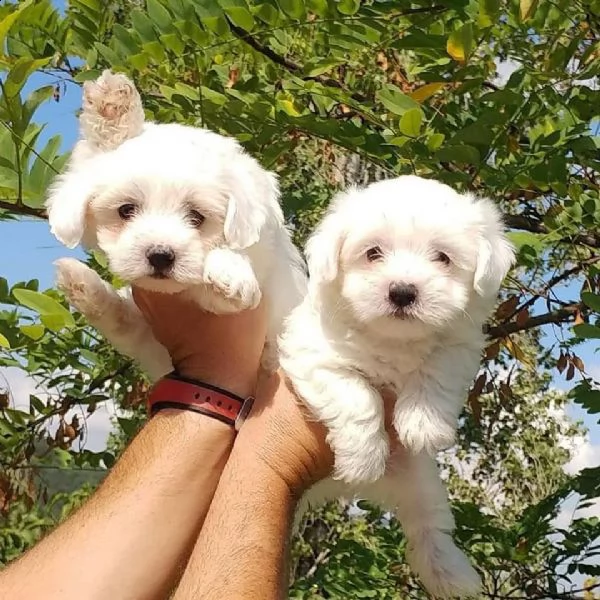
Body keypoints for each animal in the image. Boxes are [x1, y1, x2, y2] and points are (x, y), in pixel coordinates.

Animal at [278, 176, 512, 596]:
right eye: (373, 253)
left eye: (442, 257)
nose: (402, 291)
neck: (393, 339)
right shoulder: (313, 354)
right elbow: (358, 395)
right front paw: (362, 457)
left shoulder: (459, 346)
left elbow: (435, 371)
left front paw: (422, 423)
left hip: (420, 481)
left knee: (429, 526)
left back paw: (453, 575)